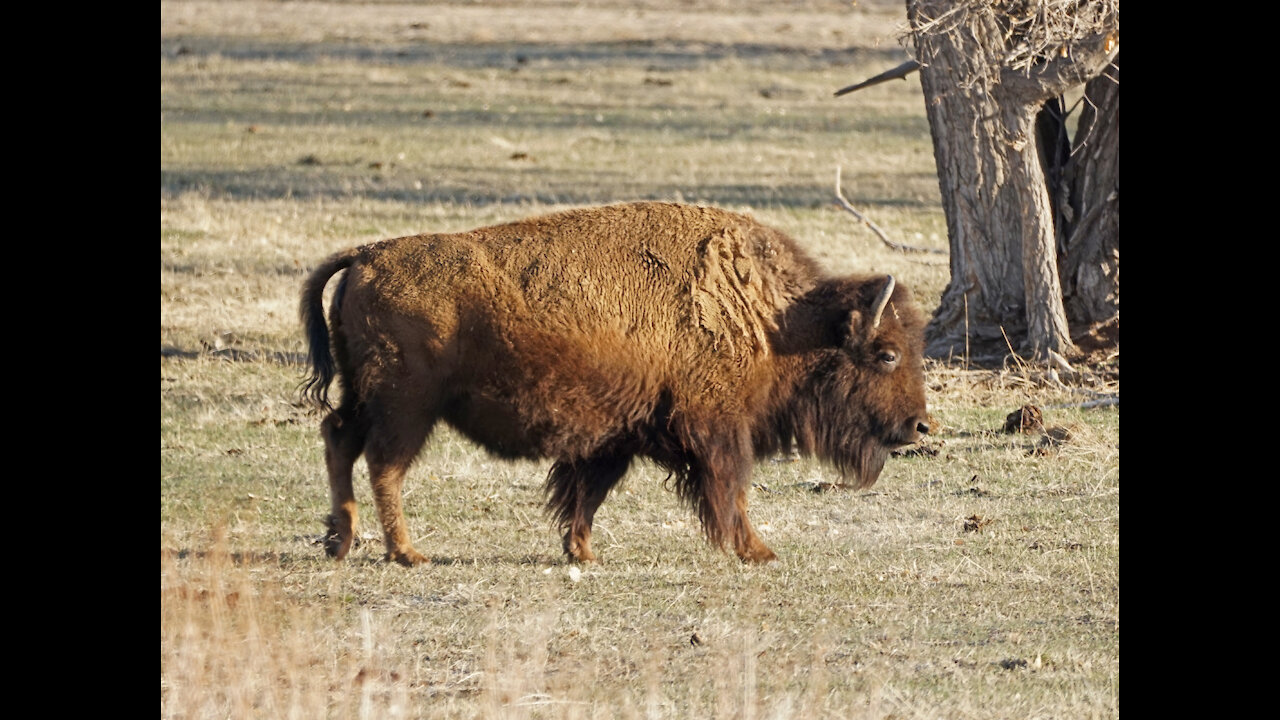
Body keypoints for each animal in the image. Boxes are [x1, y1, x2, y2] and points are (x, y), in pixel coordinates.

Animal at [300, 198, 931, 563]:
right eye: (887, 355)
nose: (919, 425)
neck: (775, 319)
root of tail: (367, 255)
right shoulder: (718, 430)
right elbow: (731, 489)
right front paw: (757, 551)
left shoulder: (615, 436)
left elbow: (586, 492)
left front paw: (580, 552)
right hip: (407, 405)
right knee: (384, 465)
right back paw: (406, 553)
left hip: (369, 397)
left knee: (338, 439)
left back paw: (340, 542)